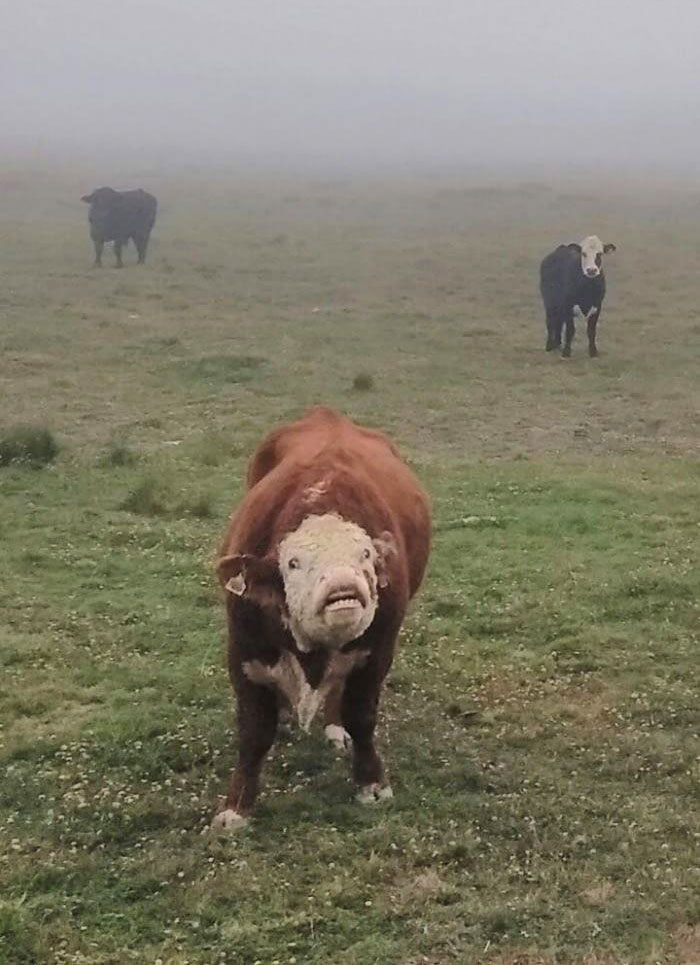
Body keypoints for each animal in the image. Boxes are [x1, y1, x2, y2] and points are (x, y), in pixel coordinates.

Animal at [212, 406, 431, 829]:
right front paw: (236, 808)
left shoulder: (378, 651)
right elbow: (254, 731)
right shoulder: (243, 652)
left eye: (366, 554)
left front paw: (372, 784)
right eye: (294, 563)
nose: (344, 586)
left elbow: (361, 715)